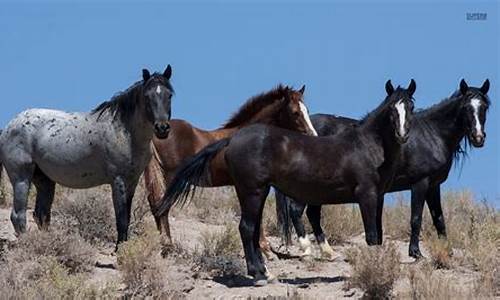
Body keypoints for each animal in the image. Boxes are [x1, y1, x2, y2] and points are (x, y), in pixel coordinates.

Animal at [0, 65, 174, 248]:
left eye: (169, 95)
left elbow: (126, 217)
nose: (162, 128)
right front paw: (119, 250)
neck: (126, 131)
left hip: (44, 181)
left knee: (41, 215)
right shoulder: (118, 181)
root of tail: (8, 127)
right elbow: (121, 220)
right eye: (147, 96)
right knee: (18, 216)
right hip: (21, 179)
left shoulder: (131, 183)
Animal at [143, 83, 318, 256]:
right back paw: (167, 245)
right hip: (170, 177)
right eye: (295, 112)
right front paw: (264, 248)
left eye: (307, 111)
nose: (313, 136)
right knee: (162, 205)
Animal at [274, 79, 488, 258]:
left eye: (484, 107)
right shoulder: (420, 183)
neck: (432, 134)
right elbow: (416, 218)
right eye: (466, 107)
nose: (478, 137)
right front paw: (415, 252)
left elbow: (439, 219)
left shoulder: (434, 186)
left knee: (312, 213)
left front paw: (447, 251)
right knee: (297, 210)